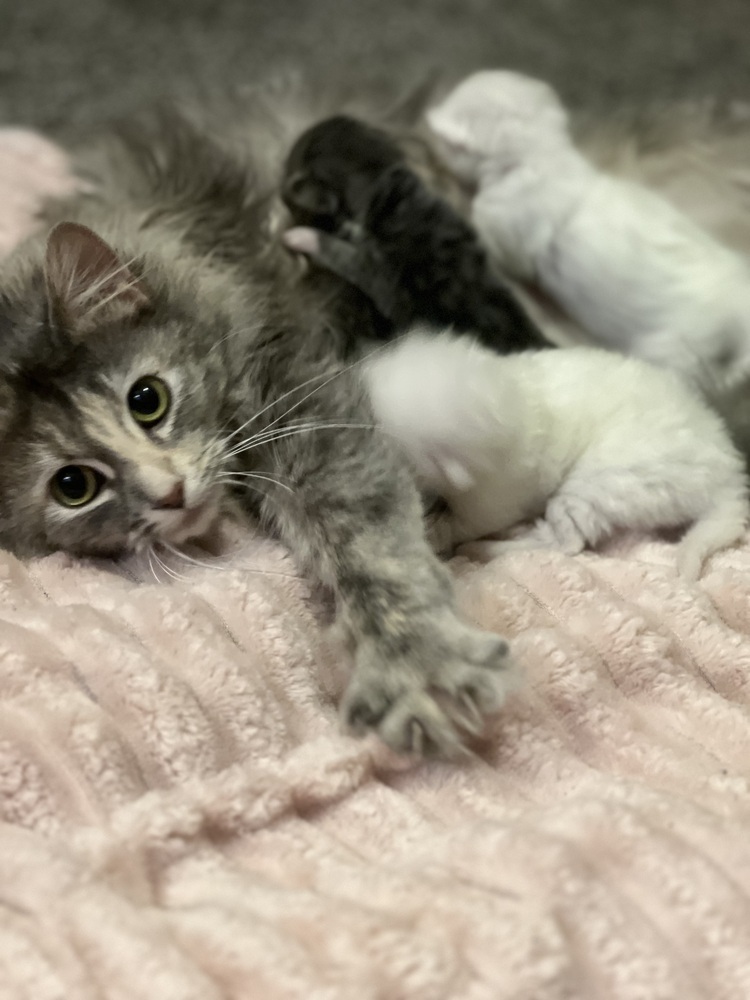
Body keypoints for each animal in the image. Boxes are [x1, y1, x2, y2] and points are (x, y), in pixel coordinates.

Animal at [0, 103, 516, 756]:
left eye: (148, 399)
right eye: (73, 487)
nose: (171, 494)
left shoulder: (300, 392)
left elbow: (369, 540)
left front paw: (416, 660)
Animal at [362, 330, 748, 580]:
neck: (504, 397)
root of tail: (729, 480)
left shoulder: (491, 499)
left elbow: (458, 524)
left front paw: (434, 534)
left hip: (601, 483)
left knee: (567, 543)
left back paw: (491, 549)